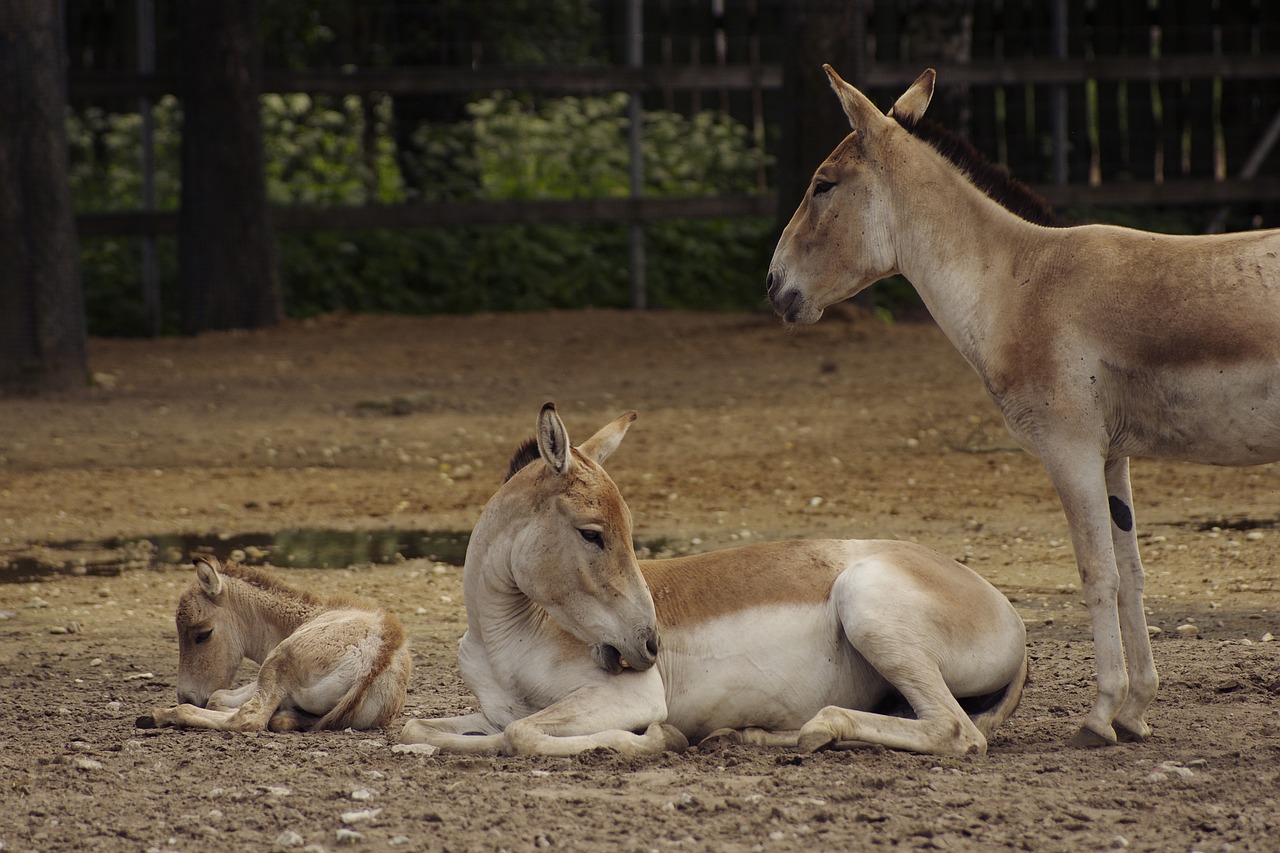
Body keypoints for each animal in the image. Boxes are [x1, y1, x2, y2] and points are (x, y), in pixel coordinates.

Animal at [135, 555, 407, 727]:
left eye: (203, 634)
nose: (187, 697)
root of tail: (377, 661)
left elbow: (217, 697)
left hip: (275, 664)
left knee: (248, 719)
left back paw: (158, 716)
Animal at [399, 404, 1029, 758]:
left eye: (626, 531)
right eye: (593, 533)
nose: (648, 645)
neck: (505, 635)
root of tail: (1012, 615)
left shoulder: (630, 695)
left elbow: (523, 735)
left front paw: (654, 741)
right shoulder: (492, 710)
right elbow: (419, 725)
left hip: (868, 606)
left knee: (954, 732)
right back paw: (750, 737)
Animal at [762, 66, 1274, 742]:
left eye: (823, 184)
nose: (772, 286)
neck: (1020, 285)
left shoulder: (1069, 448)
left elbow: (1097, 573)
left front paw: (1100, 714)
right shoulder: (1112, 456)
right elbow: (1133, 576)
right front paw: (1136, 710)